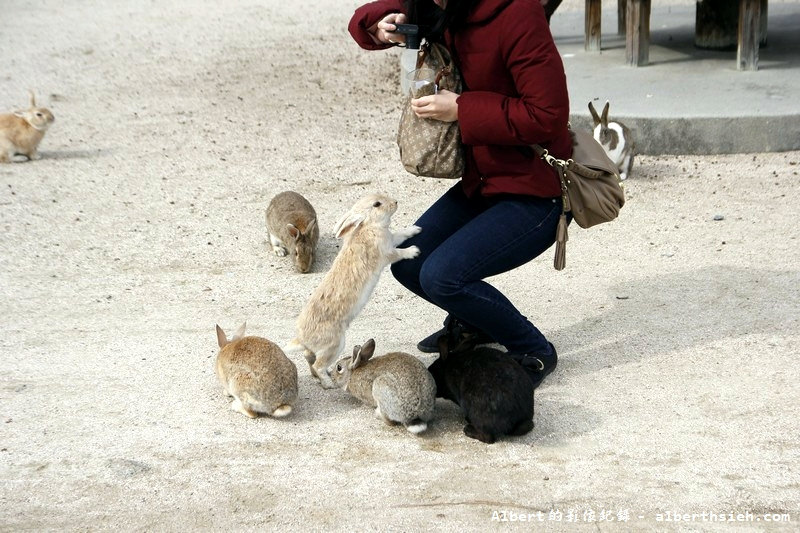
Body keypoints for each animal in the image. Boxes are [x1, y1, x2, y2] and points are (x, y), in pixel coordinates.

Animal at [288, 193, 424, 388]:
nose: (395, 202)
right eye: (377, 204)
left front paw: (415, 229)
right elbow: (398, 253)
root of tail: (301, 339)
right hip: (335, 344)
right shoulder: (387, 253)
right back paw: (328, 383)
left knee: (309, 357)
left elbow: (400, 234)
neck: (369, 226)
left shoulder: (391, 239)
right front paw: (414, 251)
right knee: (318, 364)